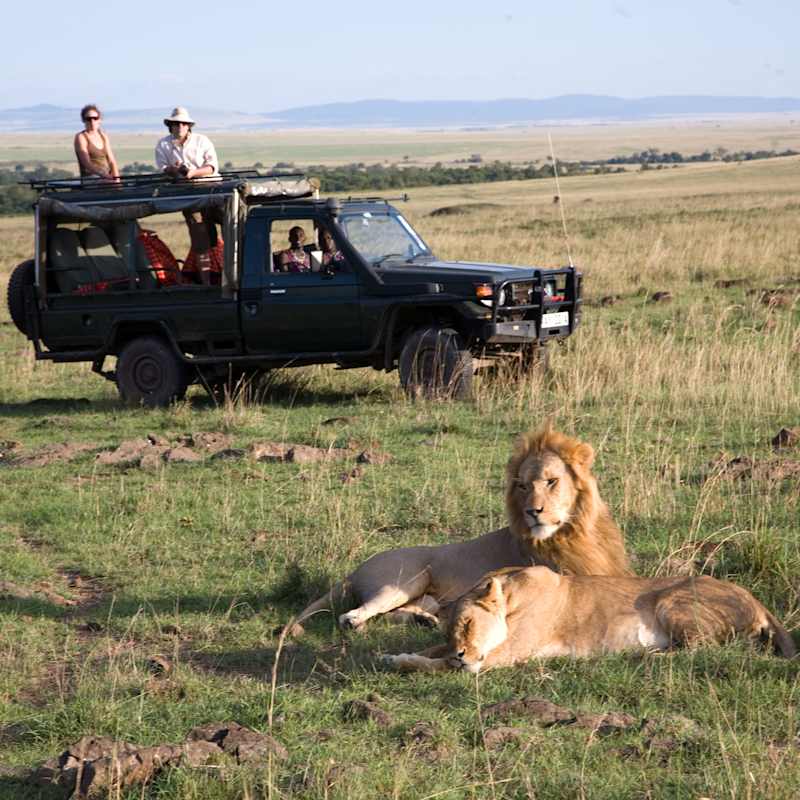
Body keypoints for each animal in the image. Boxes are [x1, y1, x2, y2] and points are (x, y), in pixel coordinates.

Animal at [288, 426, 631, 636]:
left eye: (551, 481)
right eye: (522, 486)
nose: (533, 511)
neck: (576, 532)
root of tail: (354, 571)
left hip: (426, 597)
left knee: (393, 614)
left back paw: (423, 621)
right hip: (405, 579)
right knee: (352, 615)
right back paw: (359, 623)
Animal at [384, 566, 796, 673]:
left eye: (469, 625)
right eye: (451, 632)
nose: (461, 652)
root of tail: (758, 601)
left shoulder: (500, 657)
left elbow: (434, 665)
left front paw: (400, 660)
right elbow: (431, 651)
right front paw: (389, 655)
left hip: (671, 599)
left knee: (703, 649)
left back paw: (644, 656)